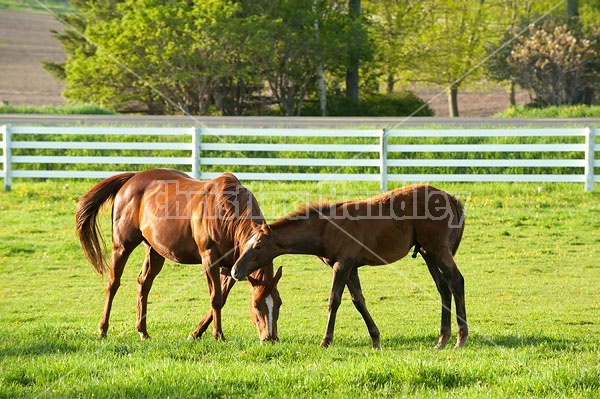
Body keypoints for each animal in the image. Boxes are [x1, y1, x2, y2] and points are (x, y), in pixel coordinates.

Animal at [75, 170, 282, 342]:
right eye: (256, 305)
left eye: (279, 303)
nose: (270, 338)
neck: (226, 211)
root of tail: (132, 178)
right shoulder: (210, 260)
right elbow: (215, 298)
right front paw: (218, 335)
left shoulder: (233, 266)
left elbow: (221, 298)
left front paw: (196, 332)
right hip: (121, 247)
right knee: (113, 284)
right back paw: (103, 329)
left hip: (155, 251)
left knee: (144, 283)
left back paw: (142, 331)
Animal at [232, 184, 466, 350]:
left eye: (258, 246)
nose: (235, 270)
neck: (326, 227)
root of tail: (451, 199)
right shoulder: (352, 268)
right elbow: (358, 301)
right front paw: (375, 340)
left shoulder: (342, 265)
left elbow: (334, 300)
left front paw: (326, 340)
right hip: (428, 253)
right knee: (444, 288)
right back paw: (442, 339)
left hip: (438, 250)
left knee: (456, 281)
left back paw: (461, 338)